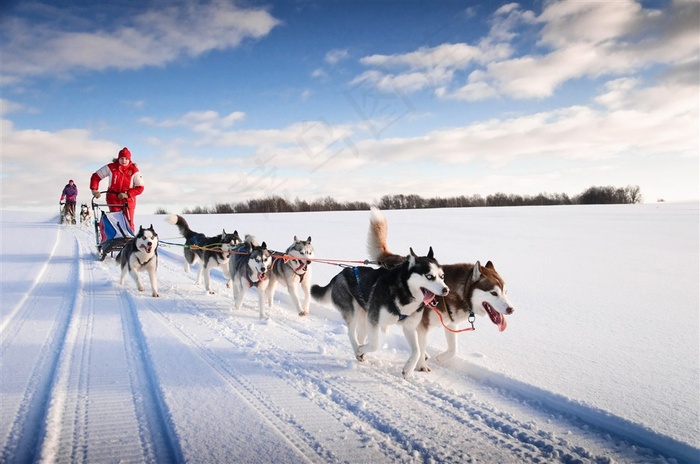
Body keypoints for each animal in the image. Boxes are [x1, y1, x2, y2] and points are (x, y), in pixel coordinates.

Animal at [310, 246, 448, 376]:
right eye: (429, 276)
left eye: (442, 276)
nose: (446, 289)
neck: (404, 292)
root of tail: (340, 274)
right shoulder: (373, 320)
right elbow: (375, 344)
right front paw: (361, 350)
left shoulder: (409, 327)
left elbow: (417, 350)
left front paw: (408, 370)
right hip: (353, 312)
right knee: (351, 333)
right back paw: (358, 350)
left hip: (363, 316)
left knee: (361, 334)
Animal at [366, 208, 516, 376]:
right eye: (493, 293)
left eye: (505, 292)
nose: (511, 309)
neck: (457, 293)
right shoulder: (422, 326)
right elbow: (420, 346)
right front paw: (420, 365)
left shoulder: (451, 324)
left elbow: (453, 349)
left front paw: (440, 358)